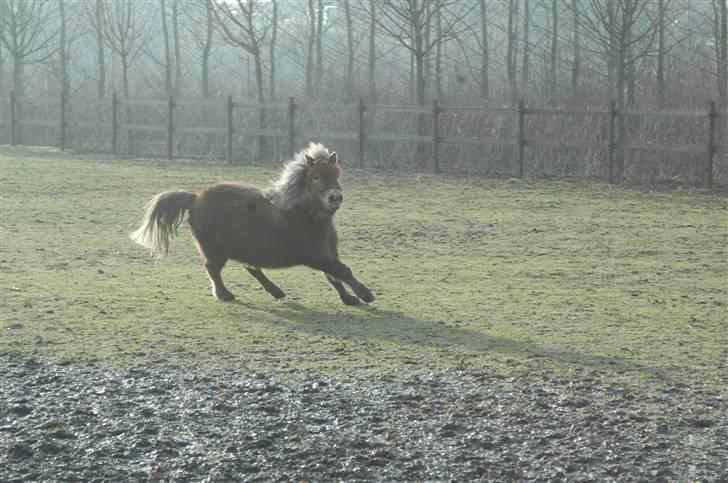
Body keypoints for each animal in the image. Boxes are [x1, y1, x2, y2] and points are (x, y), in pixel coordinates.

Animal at [129, 142, 376, 306]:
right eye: (316, 177)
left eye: (337, 174)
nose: (335, 197)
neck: (305, 216)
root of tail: (194, 197)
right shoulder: (316, 256)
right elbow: (342, 271)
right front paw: (364, 294)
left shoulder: (327, 254)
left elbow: (334, 277)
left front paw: (350, 298)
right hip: (215, 251)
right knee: (213, 269)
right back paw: (225, 294)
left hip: (241, 248)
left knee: (251, 267)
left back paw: (275, 291)